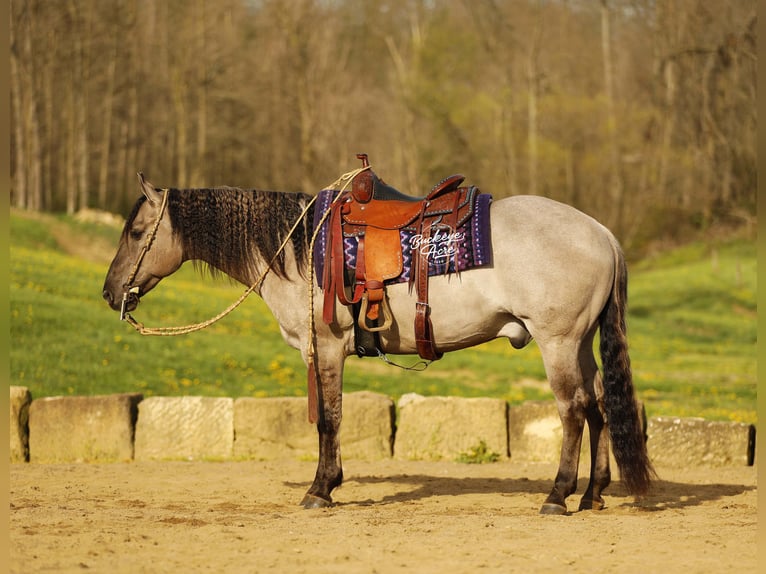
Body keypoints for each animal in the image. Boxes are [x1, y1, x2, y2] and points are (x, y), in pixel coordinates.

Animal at [102, 172, 655, 515]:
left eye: (136, 232)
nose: (110, 293)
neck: (299, 248)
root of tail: (602, 233)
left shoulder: (326, 347)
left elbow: (328, 417)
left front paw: (320, 488)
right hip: (580, 343)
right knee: (599, 406)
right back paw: (593, 494)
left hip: (557, 343)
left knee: (574, 410)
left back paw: (558, 495)